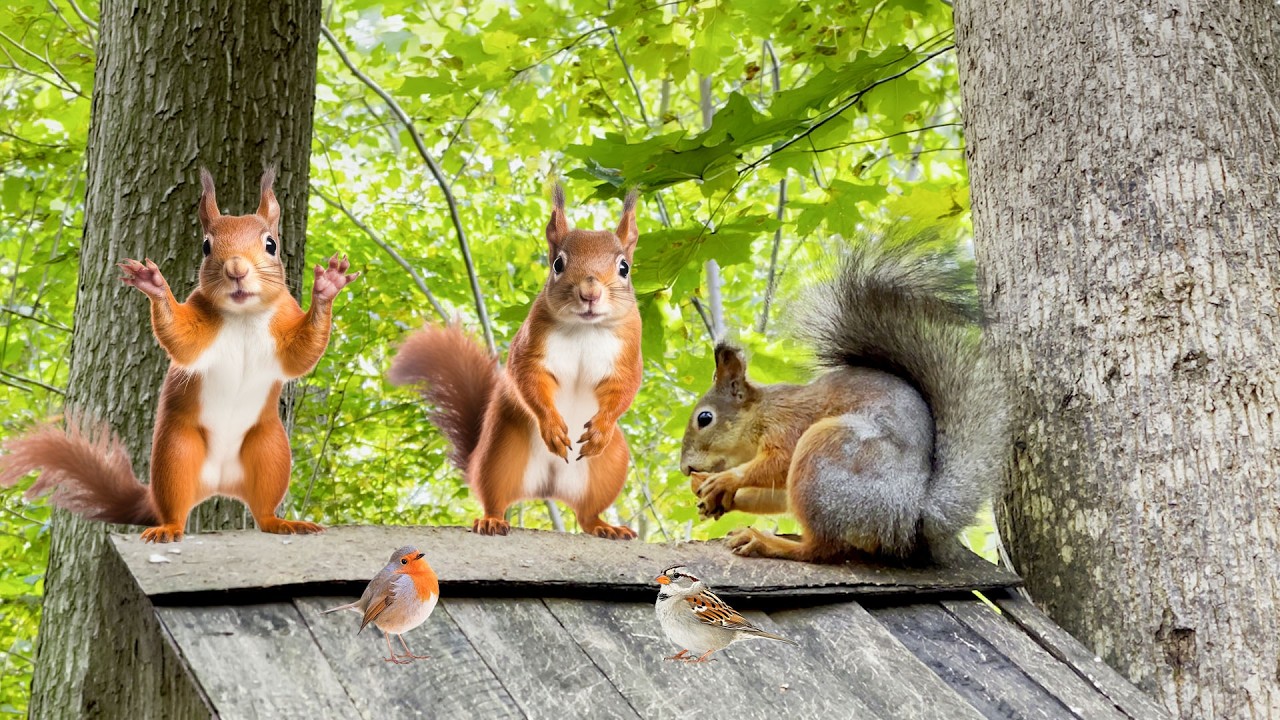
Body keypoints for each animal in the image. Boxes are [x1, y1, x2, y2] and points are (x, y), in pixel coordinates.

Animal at [0, 168, 359, 543]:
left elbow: (300, 356)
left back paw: (282, 523)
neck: (243, 316)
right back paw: (168, 528)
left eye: (271, 244)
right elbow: (182, 341)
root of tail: (219, 484)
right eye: (206, 246)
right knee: (176, 505)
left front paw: (328, 286)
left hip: (269, 450)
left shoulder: (283, 323)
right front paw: (154, 284)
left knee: (263, 509)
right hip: (177, 454)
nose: (236, 269)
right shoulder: (199, 326)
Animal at [388, 184, 642, 539]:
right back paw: (492, 520)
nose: (590, 294)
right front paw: (552, 426)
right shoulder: (530, 347)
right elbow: (529, 379)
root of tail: (548, 488)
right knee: (495, 495)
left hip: (610, 467)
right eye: (558, 264)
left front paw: (601, 429)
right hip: (501, 451)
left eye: (624, 268)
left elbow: (624, 389)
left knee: (586, 514)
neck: (585, 328)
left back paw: (604, 526)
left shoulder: (629, 353)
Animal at [679, 241, 1008, 563]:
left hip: (826, 454)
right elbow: (775, 493)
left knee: (821, 548)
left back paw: (766, 541)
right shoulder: (783, 478)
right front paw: (720, 497)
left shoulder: (788, 425)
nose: (685, 469)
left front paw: (723, 480)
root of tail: (910, 517)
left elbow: (779, 462)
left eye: (704, 418)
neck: (762, 412)